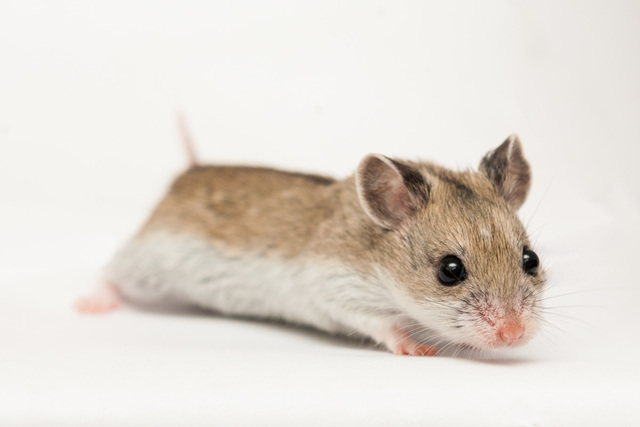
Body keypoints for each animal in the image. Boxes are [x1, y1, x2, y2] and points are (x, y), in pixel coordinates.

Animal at [76, 132, 545, 356]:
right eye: (449, 270)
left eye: (531, 259)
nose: (516, 336)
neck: (376, 255)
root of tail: (187, 173)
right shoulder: (336, 290)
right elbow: (385, 324)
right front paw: (421, 348)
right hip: (149, 264)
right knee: (107, 270)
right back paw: (91, 305)